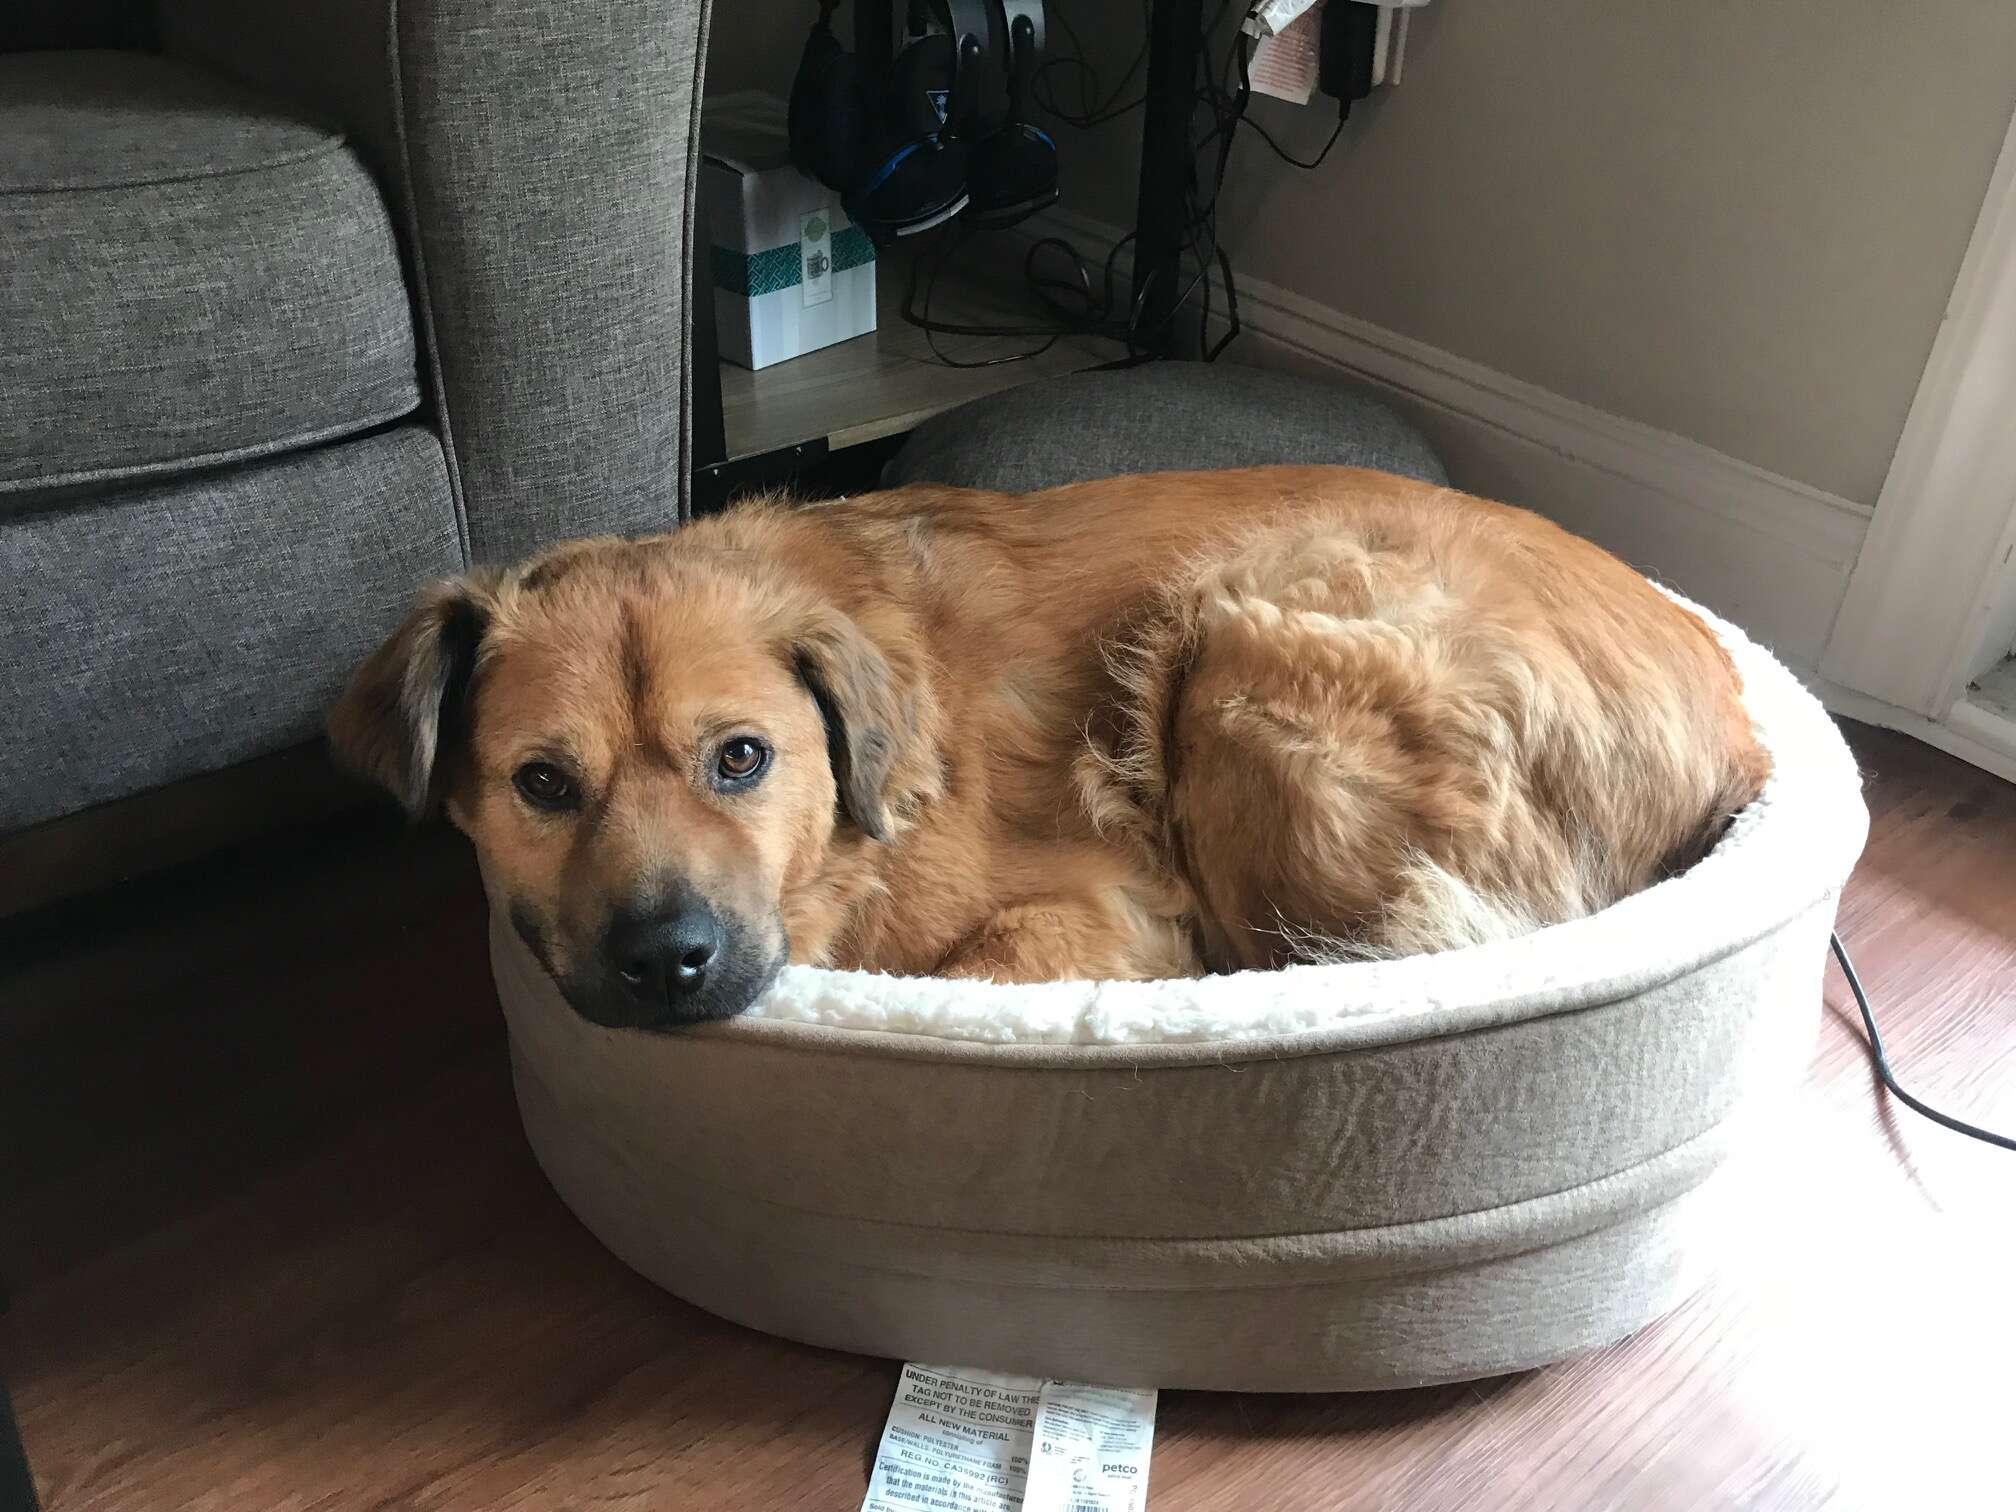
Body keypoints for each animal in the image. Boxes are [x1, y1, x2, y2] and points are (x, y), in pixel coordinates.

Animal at [326, 467, 1766, 1024]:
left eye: (739, 758)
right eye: (542, 785)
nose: (666, 963)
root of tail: (1741, 730)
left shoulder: (1104, 906)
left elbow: (978, 970)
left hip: (1245, 657)